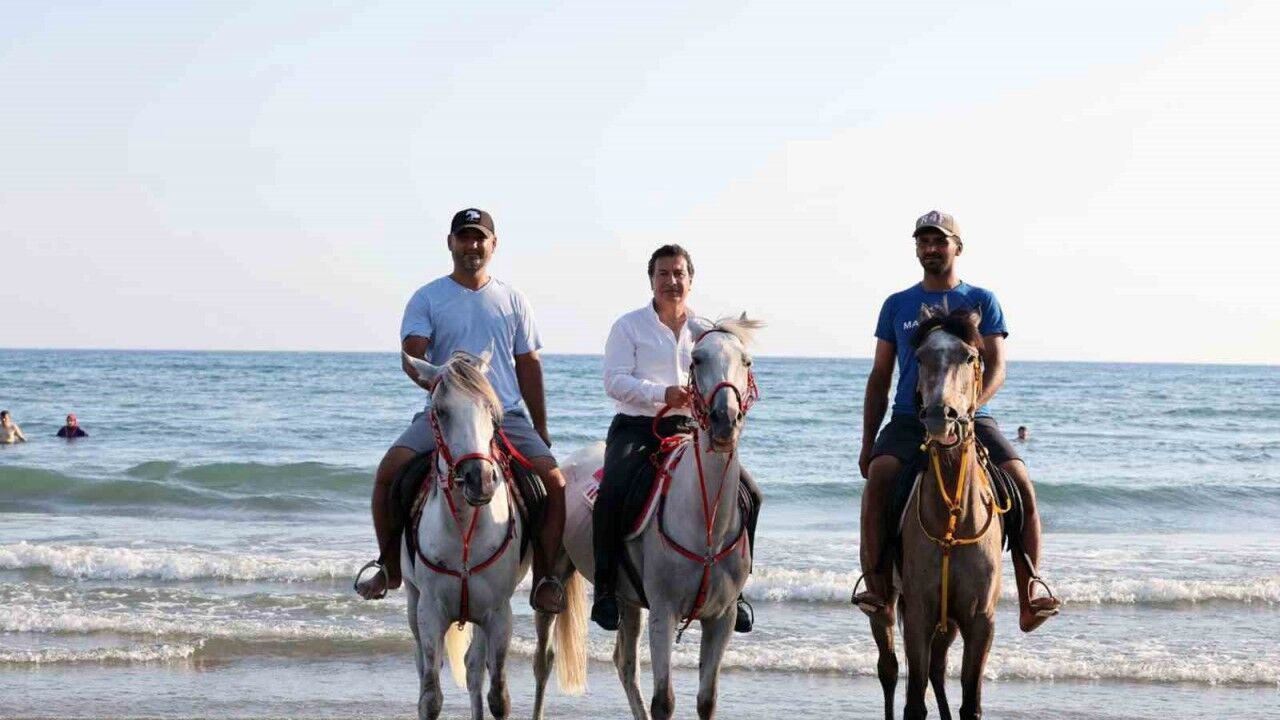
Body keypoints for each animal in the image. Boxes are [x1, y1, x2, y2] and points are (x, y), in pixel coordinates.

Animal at [400, 350, 586, 720]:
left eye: (491, 410)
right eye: (440, 411)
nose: (480, 479)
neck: (464, 530)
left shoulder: (498, 614)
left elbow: (498, 695)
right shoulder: (430, 612)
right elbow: (430, 696)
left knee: (474, 669)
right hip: (415, 602)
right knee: (424, 665)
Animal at [866, 304, 1006, 720]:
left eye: (970, 357)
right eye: (922, 357)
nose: (940, 416)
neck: (953, 520)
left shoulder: (979, 620)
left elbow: (970, 702)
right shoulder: (918, 615)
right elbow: (914, 700)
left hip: (950, 624)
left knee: (938, 671)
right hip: (886, 607)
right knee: (890, 669)